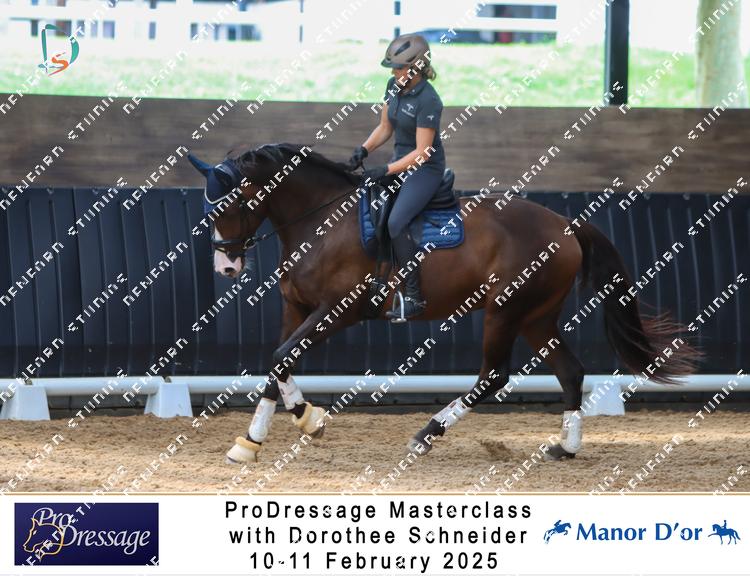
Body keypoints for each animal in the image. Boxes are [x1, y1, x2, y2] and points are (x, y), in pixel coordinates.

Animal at [187, 142, 700, 464]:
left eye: (232, 204)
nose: (226, 267)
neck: (323, 221)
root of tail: (565, 224)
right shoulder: (296, 308)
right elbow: (277, 363)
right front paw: (270, 435)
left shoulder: (338, 310)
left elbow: (280, 357)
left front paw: (292, 425)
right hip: (536, 316)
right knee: (570, 373)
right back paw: (566, 448)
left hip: (505, 311)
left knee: (494, 376)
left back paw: (427, 434)